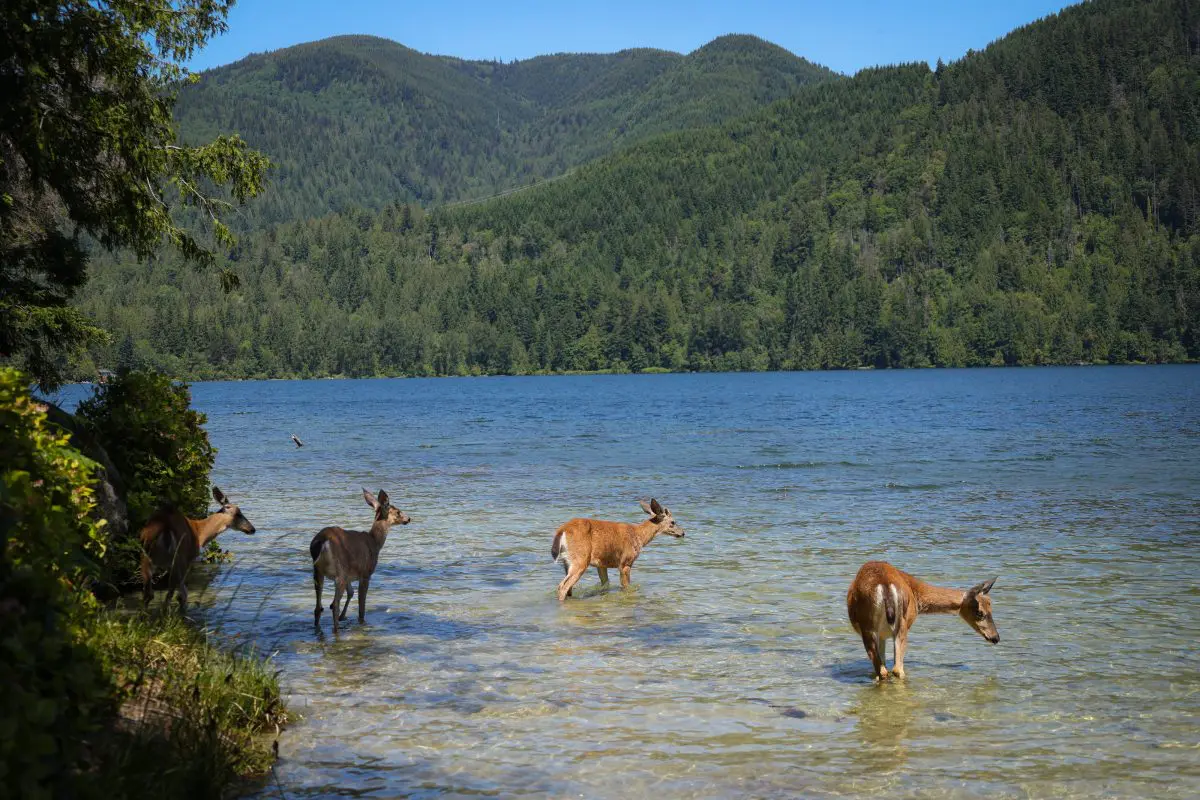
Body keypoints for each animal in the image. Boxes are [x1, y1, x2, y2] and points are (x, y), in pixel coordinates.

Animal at [310, 488, 411, 632]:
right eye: (398, 511)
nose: (408, 518)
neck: (375, 542)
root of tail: (322, 541)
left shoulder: (350, 575)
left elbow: (351, 593)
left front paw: (343, 617)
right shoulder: (365, 573)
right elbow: (361, 607)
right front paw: (359, 622)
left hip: (318, 571)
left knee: (318, 607)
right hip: (340, 570)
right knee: (334, 604)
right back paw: (337, 629)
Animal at [550, 498, 685, 601]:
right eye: (673, 522)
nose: (683, 533)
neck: (639, 536)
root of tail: (562, 530)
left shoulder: (601, 564)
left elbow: (605, 585)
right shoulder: (626, 562)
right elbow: (626, 587)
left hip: (567, 561)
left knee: (568, 588)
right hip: (581, 559)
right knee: (562, 586)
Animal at [846, 560, 999, 680]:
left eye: (991, 608)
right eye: (980, 612)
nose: (995, 637)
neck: (916, 594)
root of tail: (884, 584)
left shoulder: (882, 635)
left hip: (874, 628)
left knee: (886, 670)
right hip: (894, 627)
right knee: (893, 669)